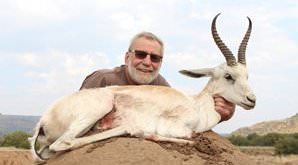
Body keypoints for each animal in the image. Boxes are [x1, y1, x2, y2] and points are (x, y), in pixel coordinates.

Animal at [28, 13, 256, 163]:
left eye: (247, 75)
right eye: (228, 76)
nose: (252, 100)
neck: (196, 105)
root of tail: (43, 121)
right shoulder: (177, 126)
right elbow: (188, 136)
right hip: (100, 106)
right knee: (64, 143)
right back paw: (136, 130)